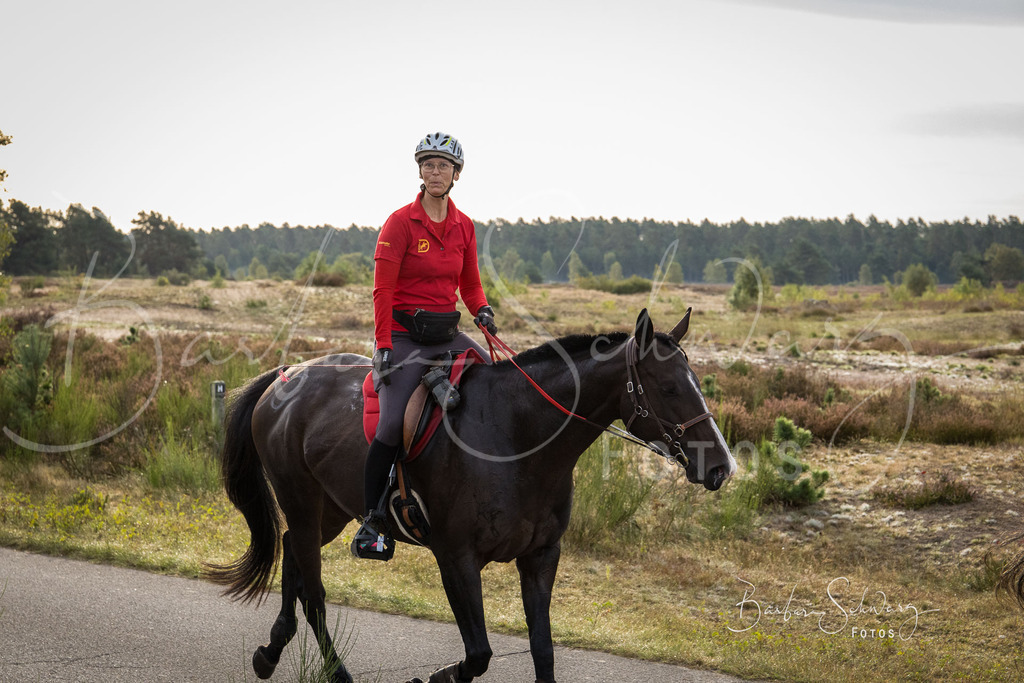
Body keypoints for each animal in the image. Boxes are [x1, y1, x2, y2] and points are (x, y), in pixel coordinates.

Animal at [205, 308, 736, 683]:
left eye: (696, 382)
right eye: (669, 387)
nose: (721, 466)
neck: (518, 439)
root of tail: (287, 375)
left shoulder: (540, 557)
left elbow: (543, 651)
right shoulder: (456, 559)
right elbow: (478, 654)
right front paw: (436, 678)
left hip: (330, 510)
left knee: (293, 558)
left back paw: (269, 653)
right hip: (301, 500)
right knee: (313, 591)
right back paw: (337, 673)